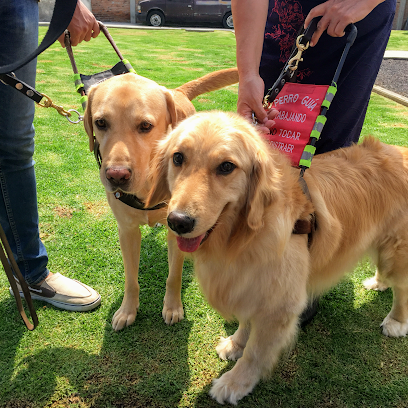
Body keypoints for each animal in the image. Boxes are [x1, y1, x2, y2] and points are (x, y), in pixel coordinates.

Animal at [83, 69, 239, 332]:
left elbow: (173, 276)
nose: (116, 175)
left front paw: (173, 307)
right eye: (101, 122)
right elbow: (130, 278)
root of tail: (175, 91)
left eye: (145, 126)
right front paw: (127, 310)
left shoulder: (177, 228)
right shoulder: (127, 231)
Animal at [147, 110, 408, 404]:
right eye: (178, 158)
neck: (244, 235)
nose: (178, 222)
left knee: (402, 288)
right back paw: (379, 282)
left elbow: (255, 352)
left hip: (397, 250)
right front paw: (235, 343)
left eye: (226, 167)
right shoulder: (252, 286)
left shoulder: (279, 304)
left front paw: (235, 382)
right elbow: (246, 324)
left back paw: (396, 321)